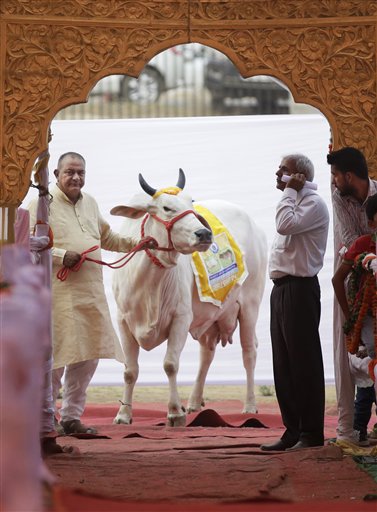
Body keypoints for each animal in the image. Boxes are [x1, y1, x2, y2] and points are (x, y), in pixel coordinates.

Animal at [110, 170, 266, 426]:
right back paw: (193, 403)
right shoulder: (124, 321)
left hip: (250, 305)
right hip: (209, 316)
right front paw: (123, 414)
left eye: (191, 203)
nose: (204, 233)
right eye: (166, 207)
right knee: (206, 354)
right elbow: (129, 370)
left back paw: (250, 406)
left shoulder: (181, 317)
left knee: (249, 352)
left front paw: (175, 412)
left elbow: (170, 364)